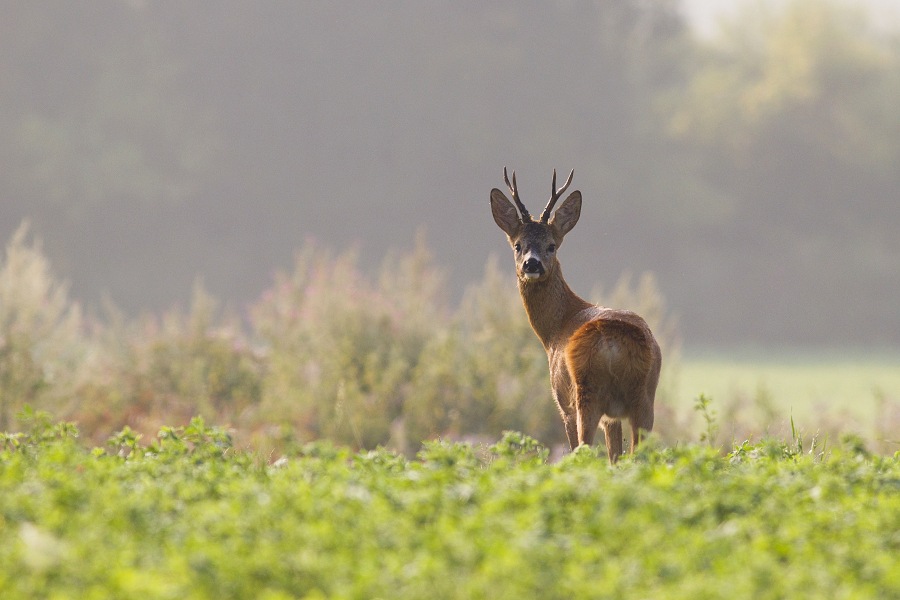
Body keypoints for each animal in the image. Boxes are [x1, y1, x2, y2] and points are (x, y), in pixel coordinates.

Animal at [492, 169, 660, 464]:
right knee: (636, 454)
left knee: (584, 449)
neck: (554, 331)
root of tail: (613, 343)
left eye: (551, 246)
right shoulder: (614, 417)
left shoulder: (562, 400)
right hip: (645, 396)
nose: (532, 264)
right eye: (518, 245)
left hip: (585, 392)